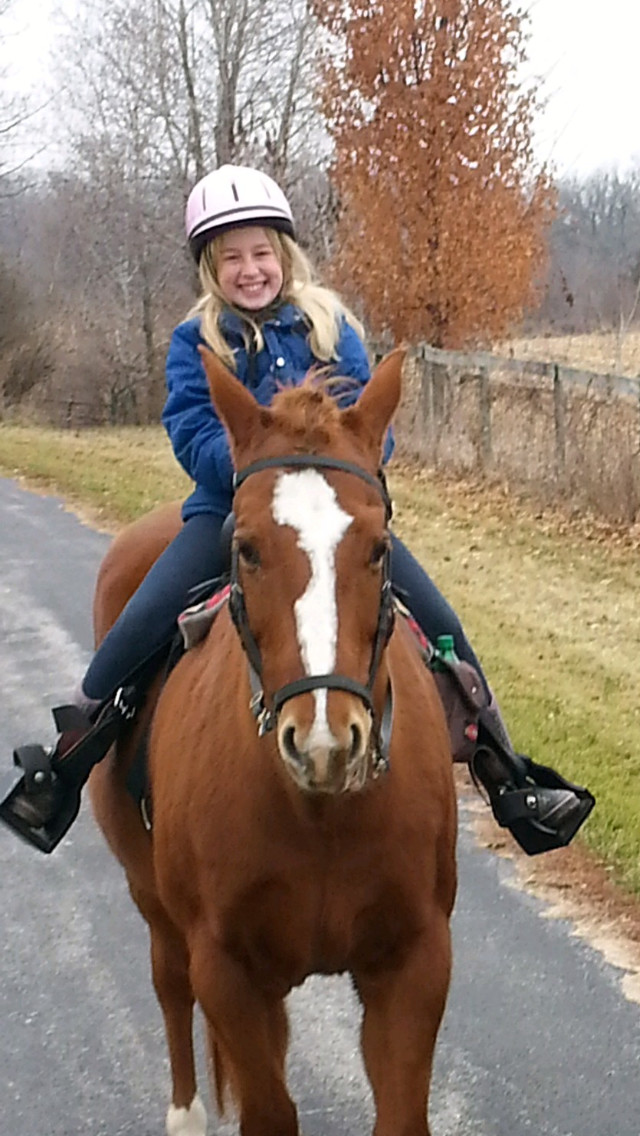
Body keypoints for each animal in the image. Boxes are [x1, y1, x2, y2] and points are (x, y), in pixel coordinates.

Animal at [90, 349, 459, 1136]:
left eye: (379, 548)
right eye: (248, 548)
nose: (324, 740)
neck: (319, 814)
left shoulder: (414, 964)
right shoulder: (226, 970)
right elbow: (267, 1108)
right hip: (154, 904)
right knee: (169, 986)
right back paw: (185, 1113)